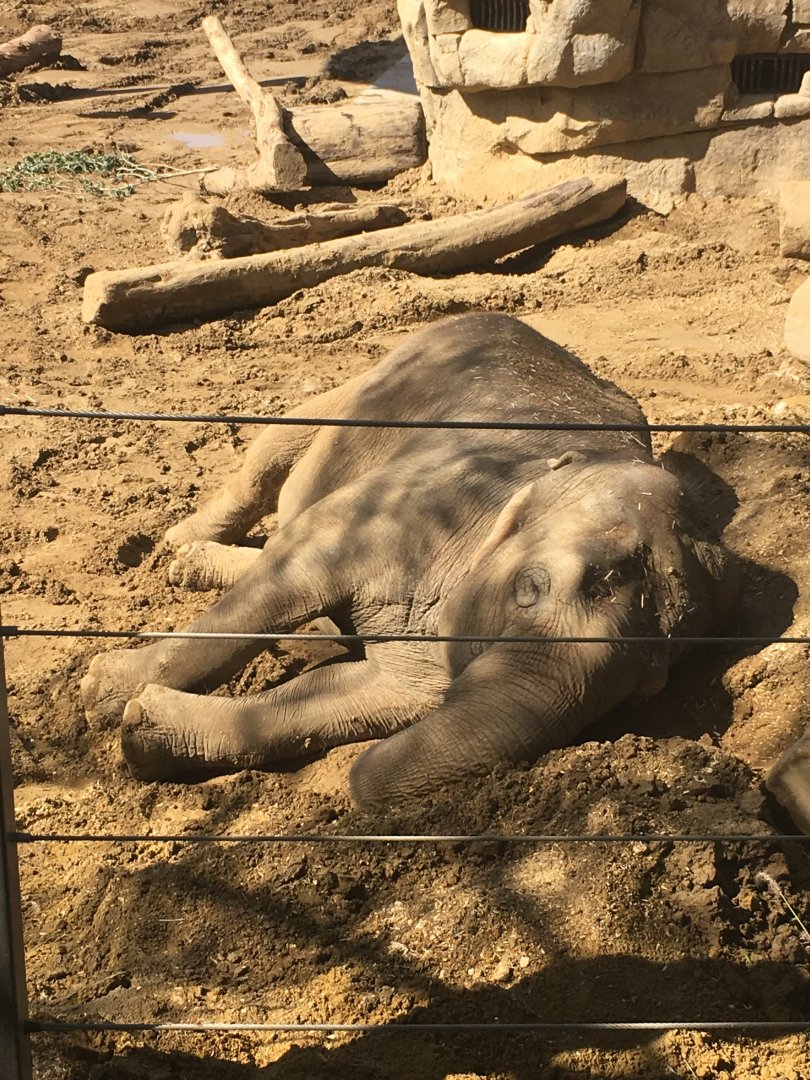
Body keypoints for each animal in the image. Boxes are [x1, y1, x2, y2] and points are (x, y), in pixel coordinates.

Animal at [81, 312, 737, 809]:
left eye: (647, 689)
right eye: (530, 589)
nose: (356, 780)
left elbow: (360, 697)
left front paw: (142, 733)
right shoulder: (409, 505)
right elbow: (285, 582)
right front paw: (99, 692)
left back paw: (199, 568)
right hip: (362, 385)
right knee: (267, 460)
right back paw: (176, 546)